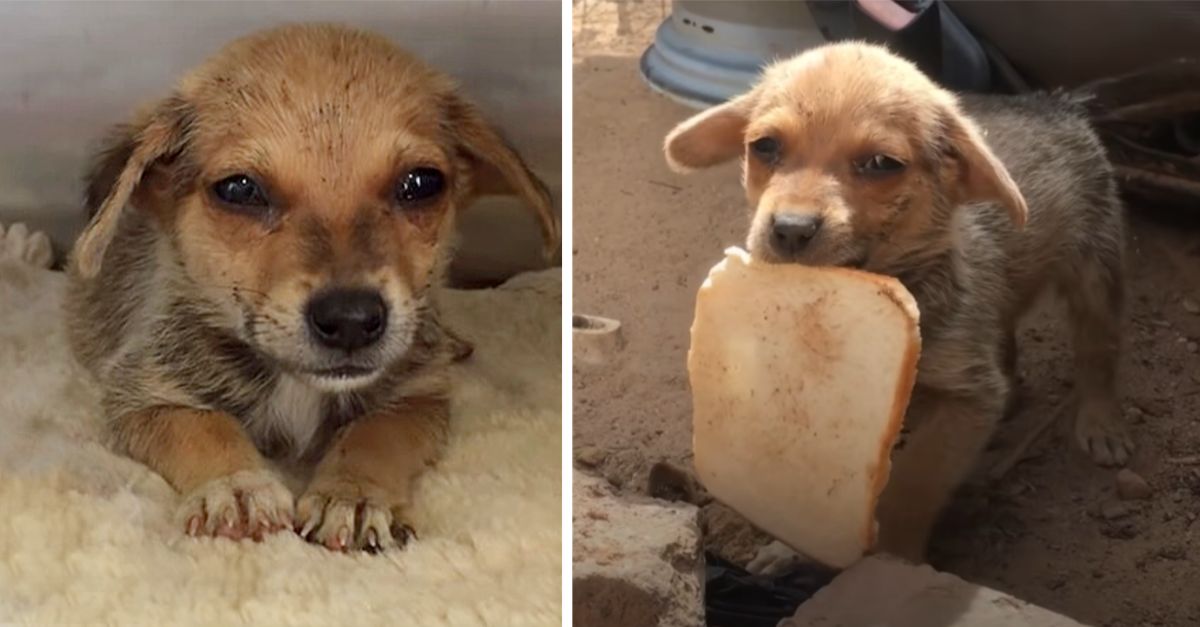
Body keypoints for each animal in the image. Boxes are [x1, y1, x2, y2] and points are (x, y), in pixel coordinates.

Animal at [69, 23, 561, 552]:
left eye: (422, 183)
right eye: (239, 189)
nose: (351, 320)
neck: (297, 384)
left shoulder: (419, 398)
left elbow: (374, 433)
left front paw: (355, 494)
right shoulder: (143, 394)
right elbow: (206, 426)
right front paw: (238, 487)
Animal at [667, 42, 1123, 562]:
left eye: (882, 164)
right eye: (764, 146)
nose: (790, 230)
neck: (903, 280)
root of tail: (1055, 102)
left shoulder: (966, 399)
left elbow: (915, 484)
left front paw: (895, 557)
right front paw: (789, 549)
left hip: (1096, 267)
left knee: (1099, 350)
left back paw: (1101, 421)